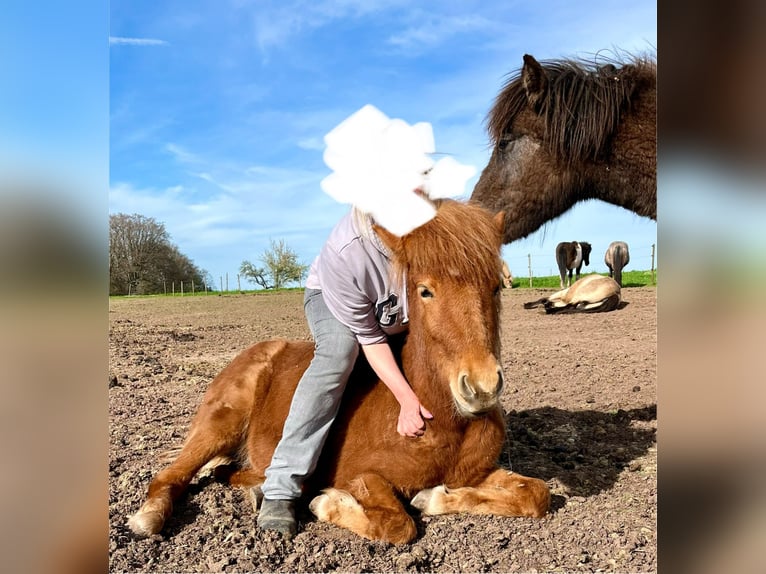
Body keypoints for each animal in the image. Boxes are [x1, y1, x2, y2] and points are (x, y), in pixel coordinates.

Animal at [127, 200, 552, 548]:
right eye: (425, 291)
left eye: (496, 287)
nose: (481, 387)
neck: (443, 420)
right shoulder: (362, 475)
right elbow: (397, 524)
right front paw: (326, 503)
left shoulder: (478, 472)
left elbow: (536, 494)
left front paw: (435, 496)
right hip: (219, 426)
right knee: (171, 476)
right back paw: (149, 518)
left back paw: (262, 491)